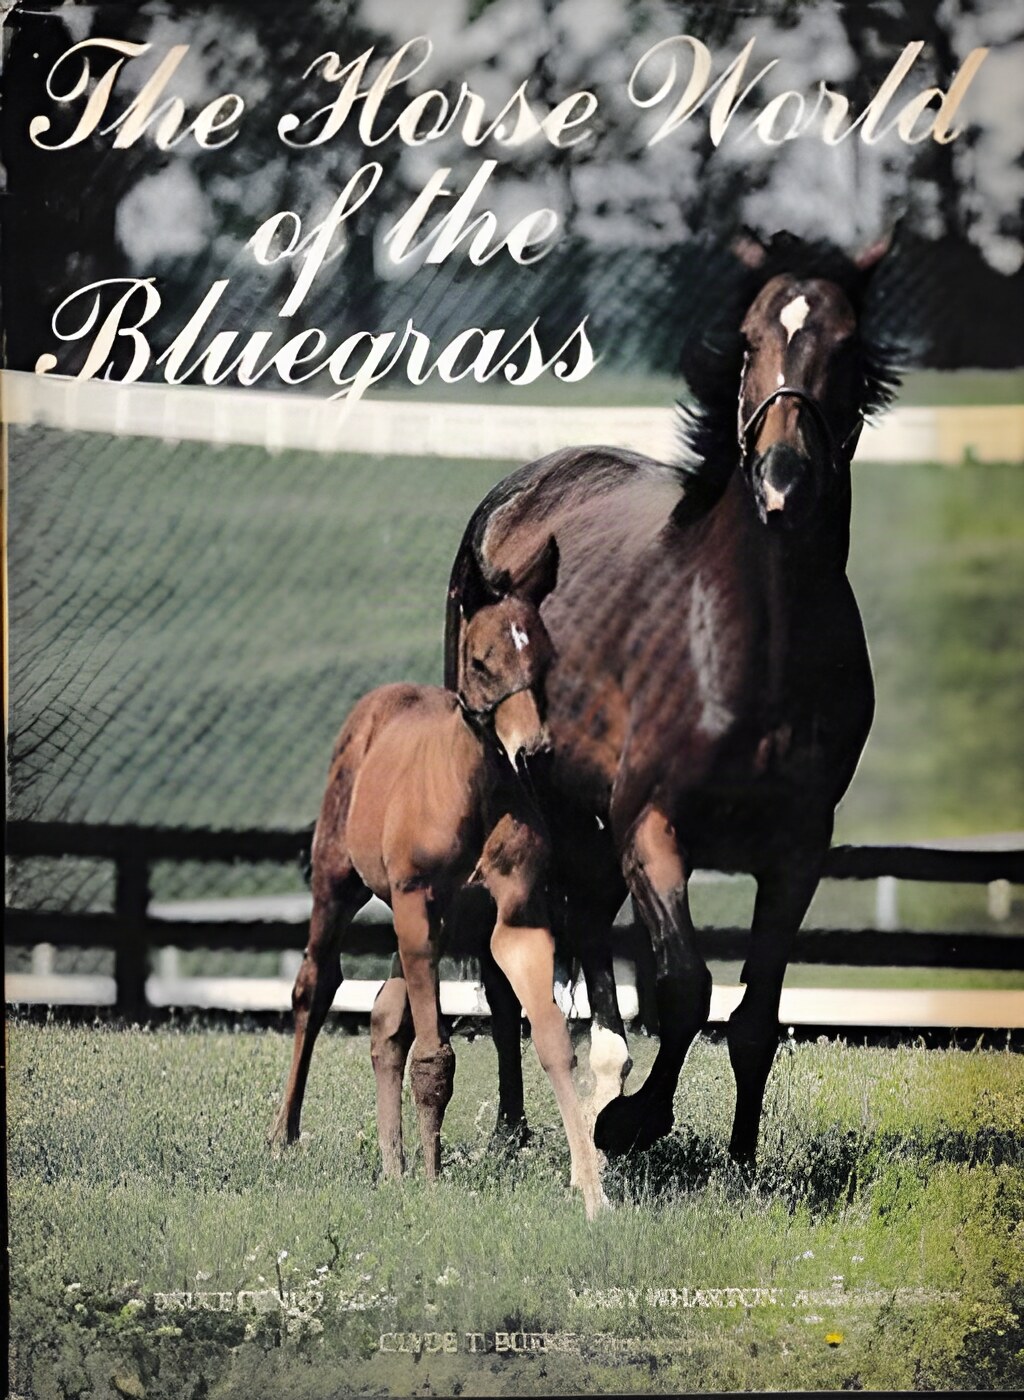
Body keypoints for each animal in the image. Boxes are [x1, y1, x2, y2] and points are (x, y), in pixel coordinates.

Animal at [269, 534, 606, 1219]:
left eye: (545, 655)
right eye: (480, 660)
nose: (534, 751)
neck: (471, 792)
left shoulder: (516, 919)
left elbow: (551, 1040)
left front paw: (593, 1191)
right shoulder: (417, 906)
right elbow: (434, 1055)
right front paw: (432, 1180)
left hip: (425, 924)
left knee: (382, 1017)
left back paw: (392, 1166)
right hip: (342, 886)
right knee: (316, 985)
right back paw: (285, 1135)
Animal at [444, 231, 900, 1166]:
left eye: (845, 345)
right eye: (752, 340)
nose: (782, 480)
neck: (751, 646)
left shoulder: (798, 849)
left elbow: (756, 1015)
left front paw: (740, 1159)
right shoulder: (651, 827)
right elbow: (683, 986)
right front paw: (635, 1121)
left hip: (585, 823)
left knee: (585, 937)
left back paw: (596, 1081)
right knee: (511, 967)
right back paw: (516, 1127)